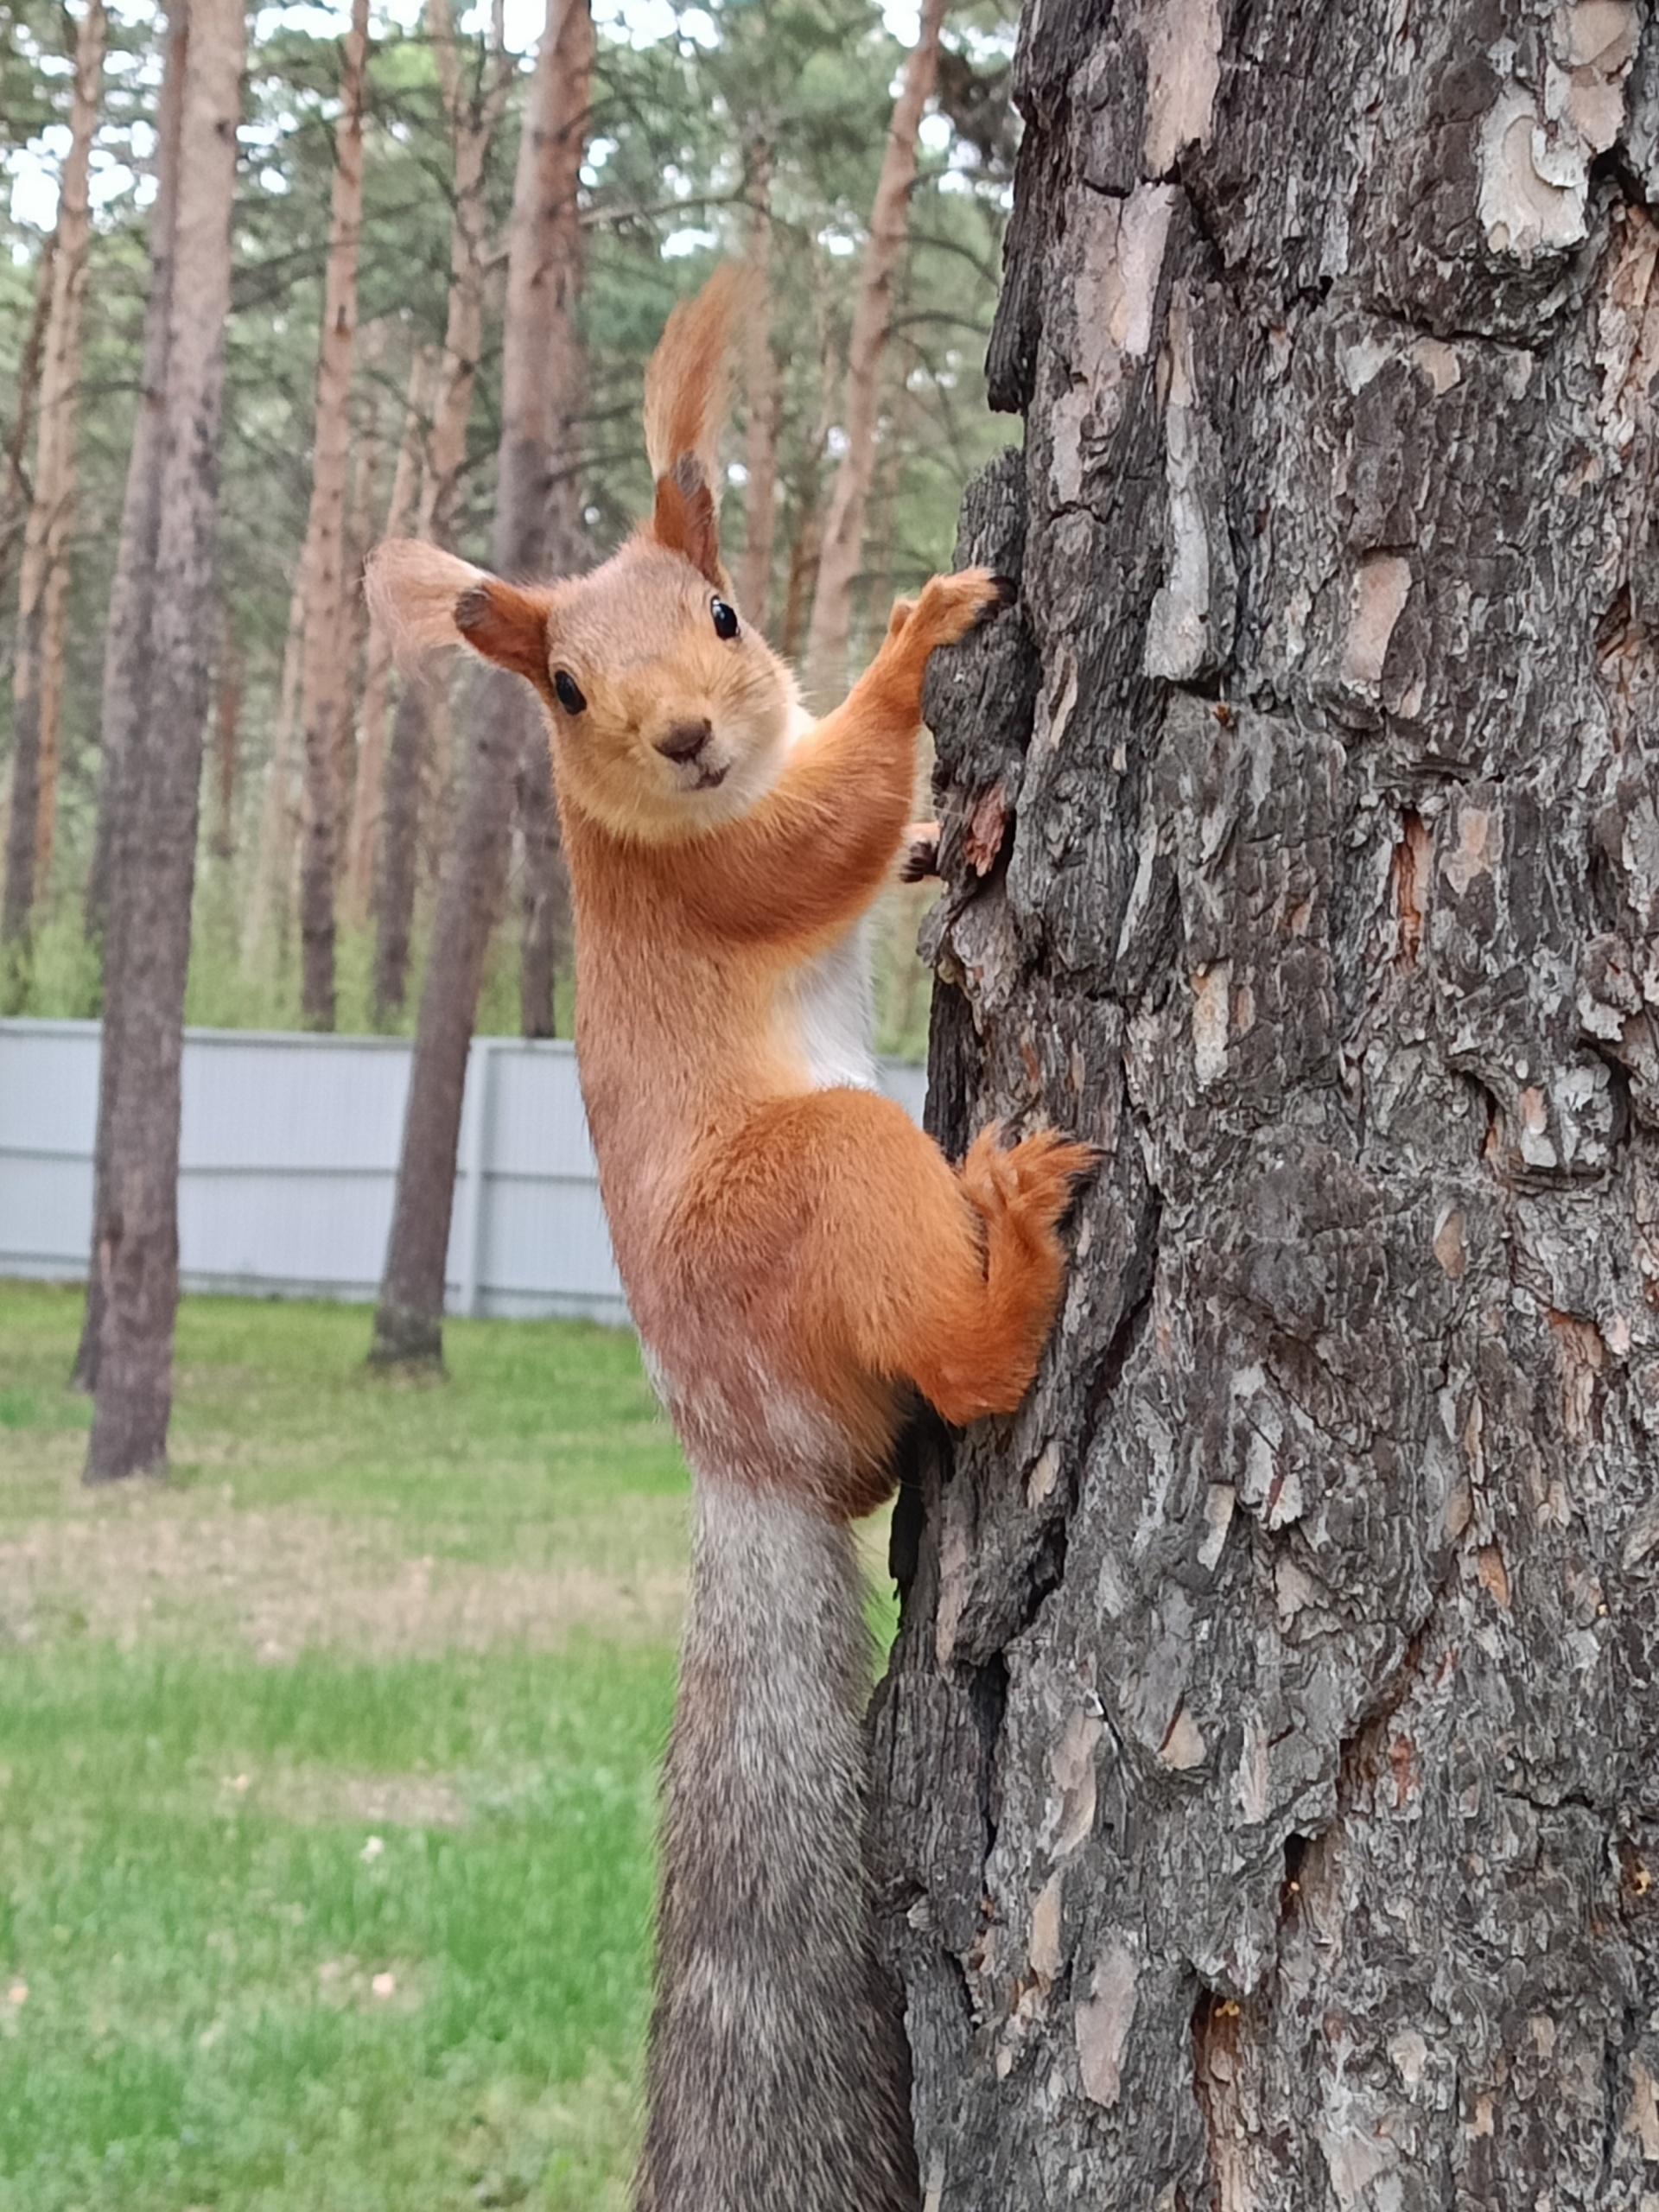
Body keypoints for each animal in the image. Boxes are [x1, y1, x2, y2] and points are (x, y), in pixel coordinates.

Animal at [366, 271, 1092, 2212]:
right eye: (565, 687)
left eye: (723, 609)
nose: (688, 734)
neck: (651, 815)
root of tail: (739, 1453)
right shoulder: (709, 876)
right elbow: (814, 835)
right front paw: (918, 645)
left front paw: (933, 826)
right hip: (822, 1178)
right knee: (957, 1365)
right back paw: (1018, 1243)